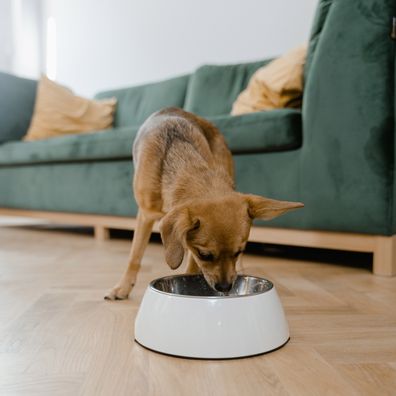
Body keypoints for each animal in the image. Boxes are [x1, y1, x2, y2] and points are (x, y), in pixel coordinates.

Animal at [104, 108, 304, 300]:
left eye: (238, 252)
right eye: (205, 255)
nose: (225, 287)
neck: (185, 165)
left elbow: (191, 267)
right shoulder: (145, 216)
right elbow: (134, 256)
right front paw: (122, 287)